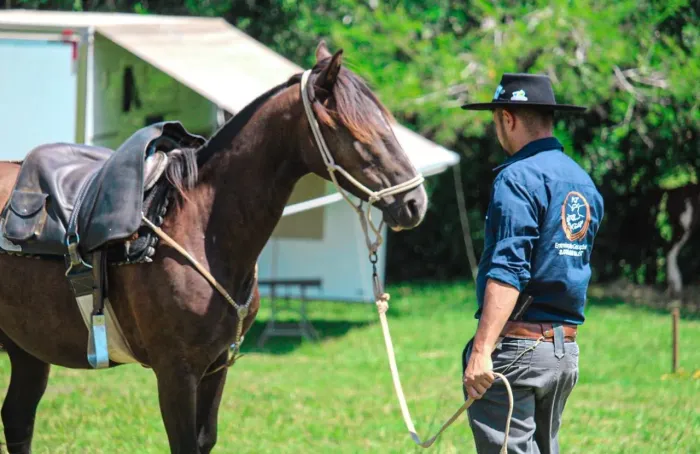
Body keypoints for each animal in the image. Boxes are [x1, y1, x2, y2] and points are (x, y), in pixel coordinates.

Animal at [0, 41, 428, 454]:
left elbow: (205, 440)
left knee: (18, 419)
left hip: (26, 349)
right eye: (356, 131)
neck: (200, 225)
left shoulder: (216, 365)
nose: (415, 202)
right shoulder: (176, 372)